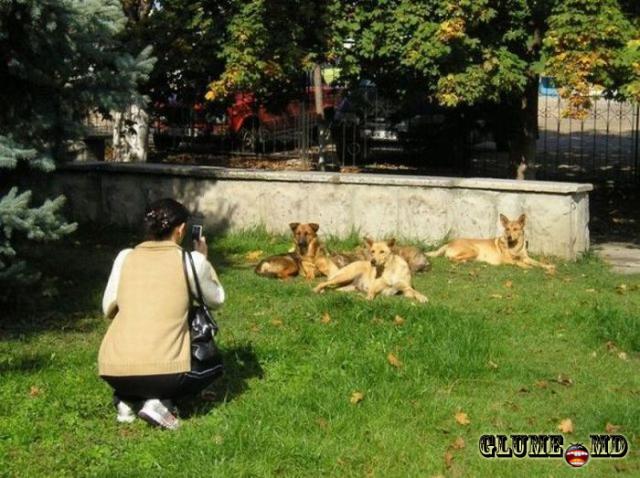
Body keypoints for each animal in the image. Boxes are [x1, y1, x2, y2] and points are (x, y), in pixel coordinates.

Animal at [426, 213, 555, 272]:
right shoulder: (506, 259)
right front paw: (527, 266)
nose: (509, 237)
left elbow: (538, 263)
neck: (515, 247)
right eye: (507, 229)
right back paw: (463, 261)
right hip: (474, 250)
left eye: (515, 229)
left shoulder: (526, 257)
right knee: (452, 258)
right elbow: (518, 262)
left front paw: (548, 266)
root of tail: (449, 243)